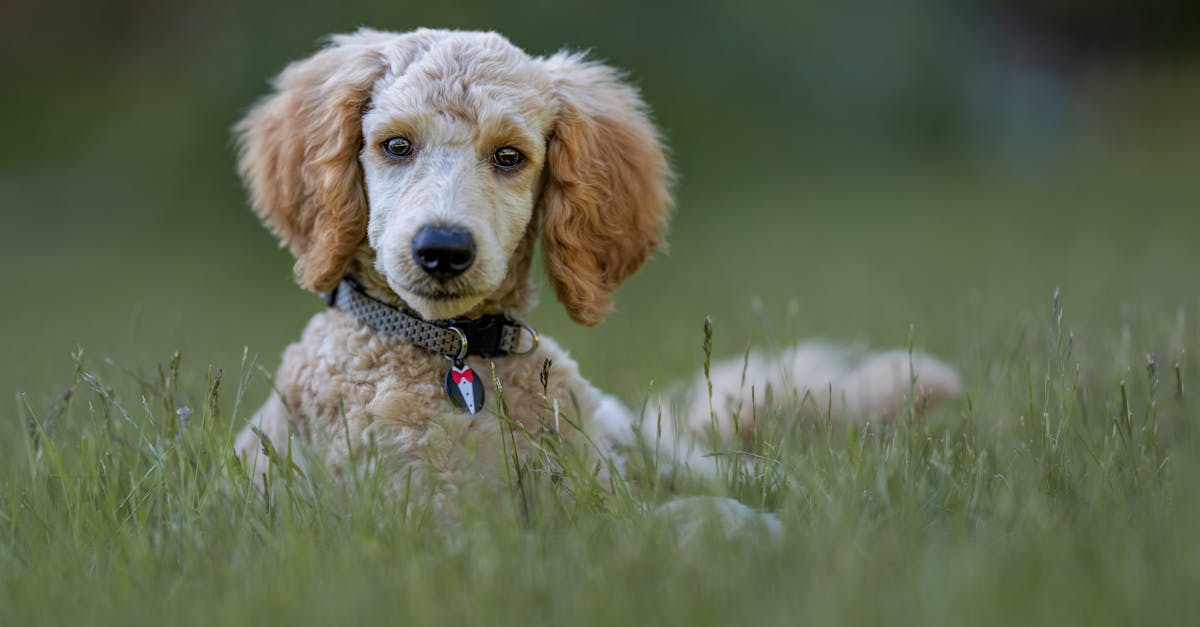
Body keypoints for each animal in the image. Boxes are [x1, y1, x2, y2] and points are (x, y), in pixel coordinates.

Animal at [231, 28, 964, 502]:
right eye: (395, 146)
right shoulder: (440, 517)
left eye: (510, 157)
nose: (443, 250)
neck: (456, 352)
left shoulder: (595, 485)